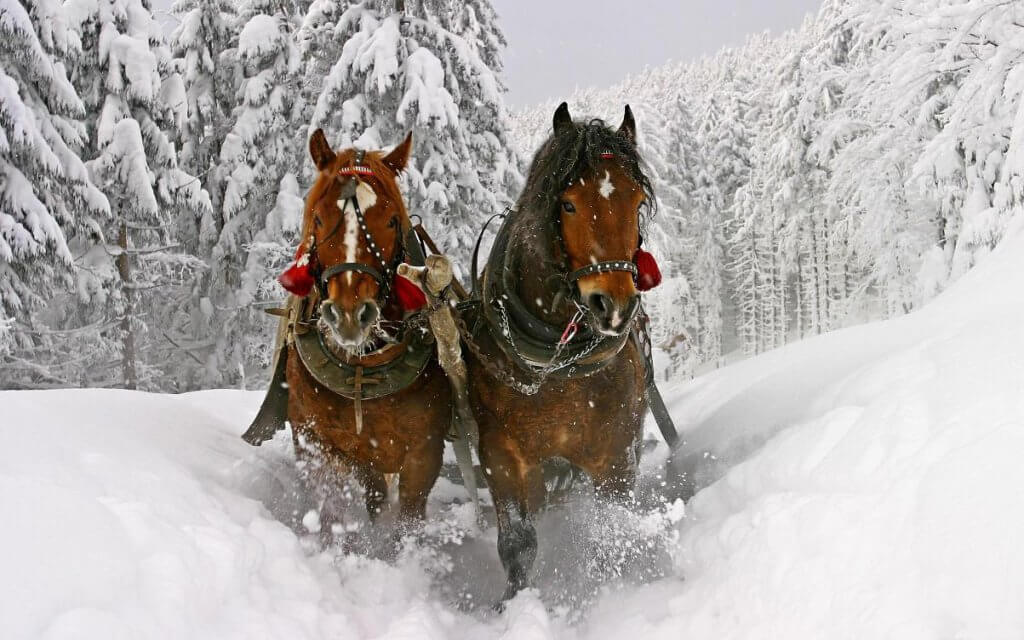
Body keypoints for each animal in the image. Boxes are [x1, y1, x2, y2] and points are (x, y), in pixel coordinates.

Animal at [276, 132, 448, 540]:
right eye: (319, 218)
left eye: (391, 220)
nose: (350, 315)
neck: (363, 369)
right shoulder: (320, 443)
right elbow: (333, 512)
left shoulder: (425, 452)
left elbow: (408, 521)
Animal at [464, 103, 655, 598]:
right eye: (567, 204)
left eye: (637, 202)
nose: (614, 305)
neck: (556, 364)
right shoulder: (502, 455)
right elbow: (517, 544)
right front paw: (513, 604)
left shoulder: (616, 454)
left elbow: (612, 531)